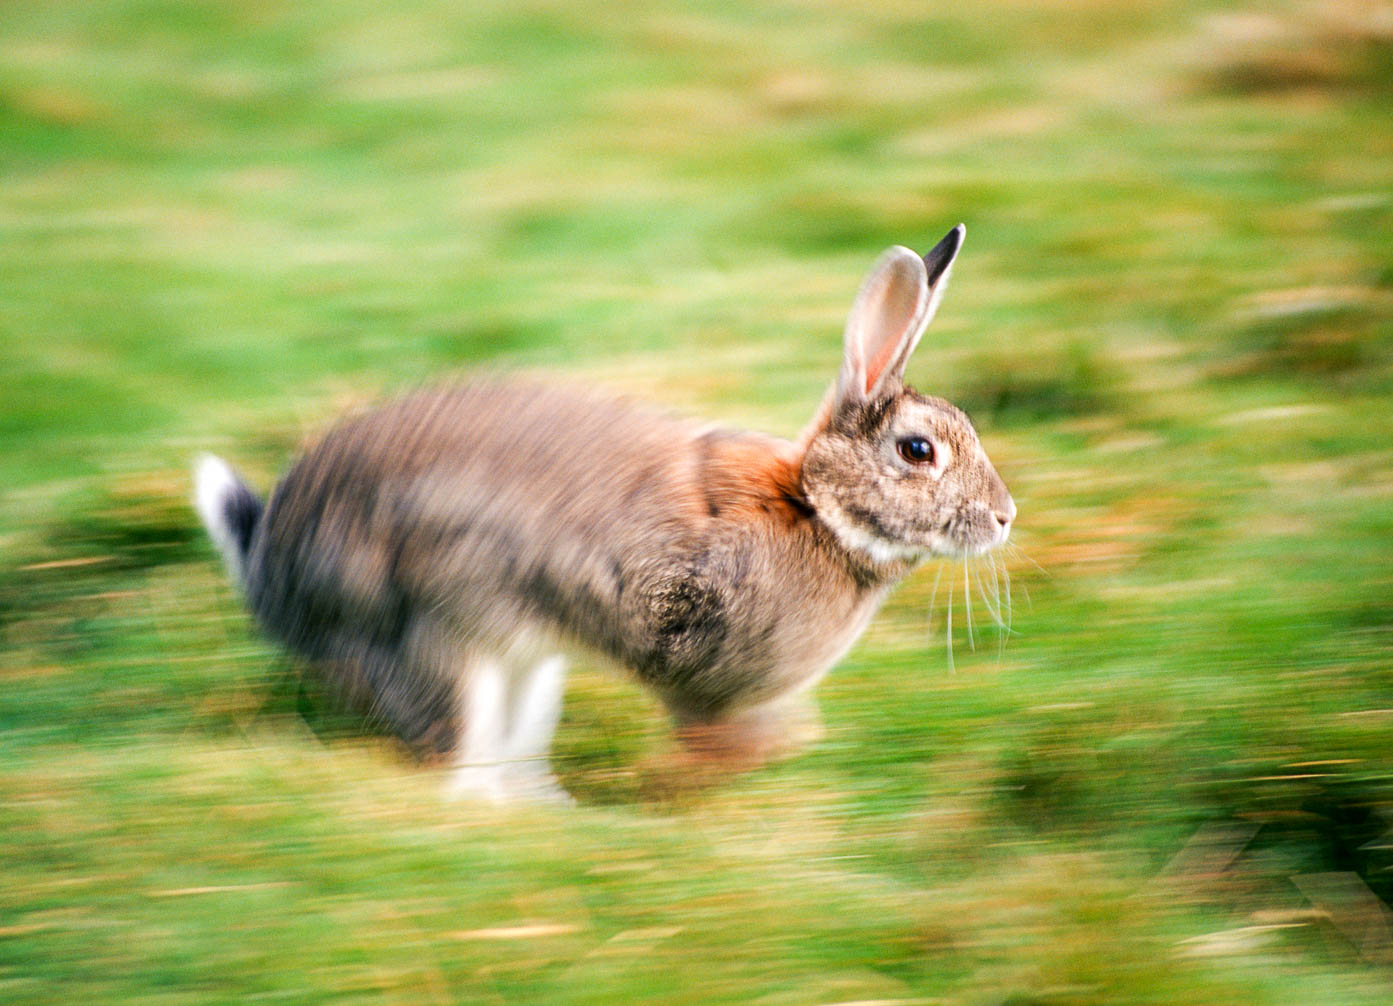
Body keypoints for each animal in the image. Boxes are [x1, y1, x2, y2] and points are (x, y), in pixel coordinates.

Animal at [194, 225, 1015, 802]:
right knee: (449, 752)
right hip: (431, 635)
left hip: (530, 666)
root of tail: (268, 571)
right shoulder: (698, 662)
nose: (1005, 517)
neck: (813, 505)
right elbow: (715, 730)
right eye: (917, 450)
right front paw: (743, 765)